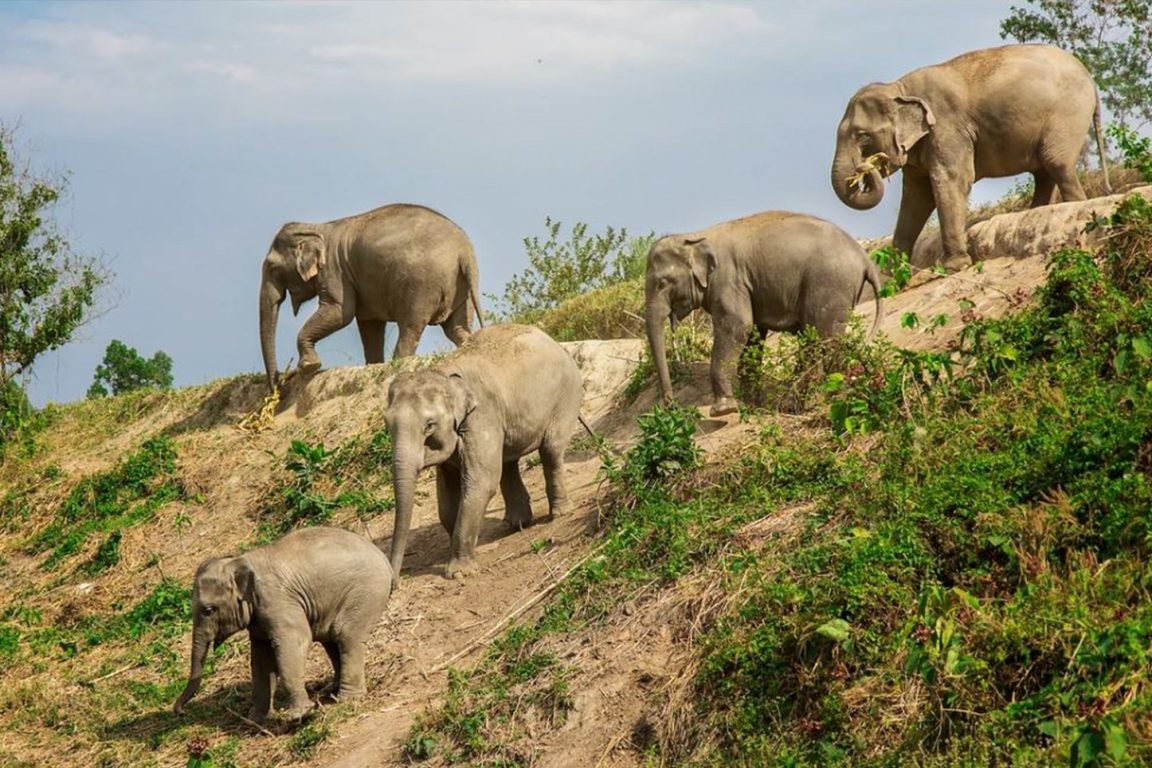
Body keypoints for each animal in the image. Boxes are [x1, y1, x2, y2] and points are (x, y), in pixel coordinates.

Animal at [170, 525, 393, 723]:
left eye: (209, 610)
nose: (181, 712)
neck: (238, 560)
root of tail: (383, 557)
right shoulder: (258, 618)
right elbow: (260, 658)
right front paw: (255, 719)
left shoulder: (276, 600)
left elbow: (295, 642)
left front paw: (300, 715)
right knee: (330, 638)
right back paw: (331, 690)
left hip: (367, 591)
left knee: (345, 634)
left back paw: (347, 699)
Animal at [259, 202, 483, 391]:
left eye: (272, 267)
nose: (279, 385)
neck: (317, 228)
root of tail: (465, 250)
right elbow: (369, 324)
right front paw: (373, 363)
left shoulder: (334, 272)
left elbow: (340, 312)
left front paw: (309, 366)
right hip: (460, 286)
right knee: (456, 328)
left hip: (422, 285)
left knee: (411, 326)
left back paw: (398, 361)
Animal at [387, 322, 585, 580]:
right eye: (387, 424)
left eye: (429, 426)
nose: (394, 582)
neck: (444, 372)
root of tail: (557, 343)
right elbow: (447, 494)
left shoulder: (482, 415)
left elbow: (481, 481)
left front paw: (458, 573)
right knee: (508, 463)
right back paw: (517, 524)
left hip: (566, 396)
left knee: (550, 452)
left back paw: (559, 514)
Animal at [649, 208, 880, 414]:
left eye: (662, 283)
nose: (670, 406)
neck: (693, 236)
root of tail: (866, 259)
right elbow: (751, 333)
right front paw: (750, 406)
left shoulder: (729, 281)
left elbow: (737, 326)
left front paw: (723, 410)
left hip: (830, 285)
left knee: (822, 337)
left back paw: (822, 397)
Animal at [834, 45, 1110, 269]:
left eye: (862, 136)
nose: (865, 169)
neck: (899, 87)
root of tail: (1090, 79)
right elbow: (916, 196)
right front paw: (890, 279)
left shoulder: (947, 128)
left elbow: (951, 180)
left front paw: (953, 267)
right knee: (1044, 171)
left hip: (1067, 114)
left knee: (1057, 164)